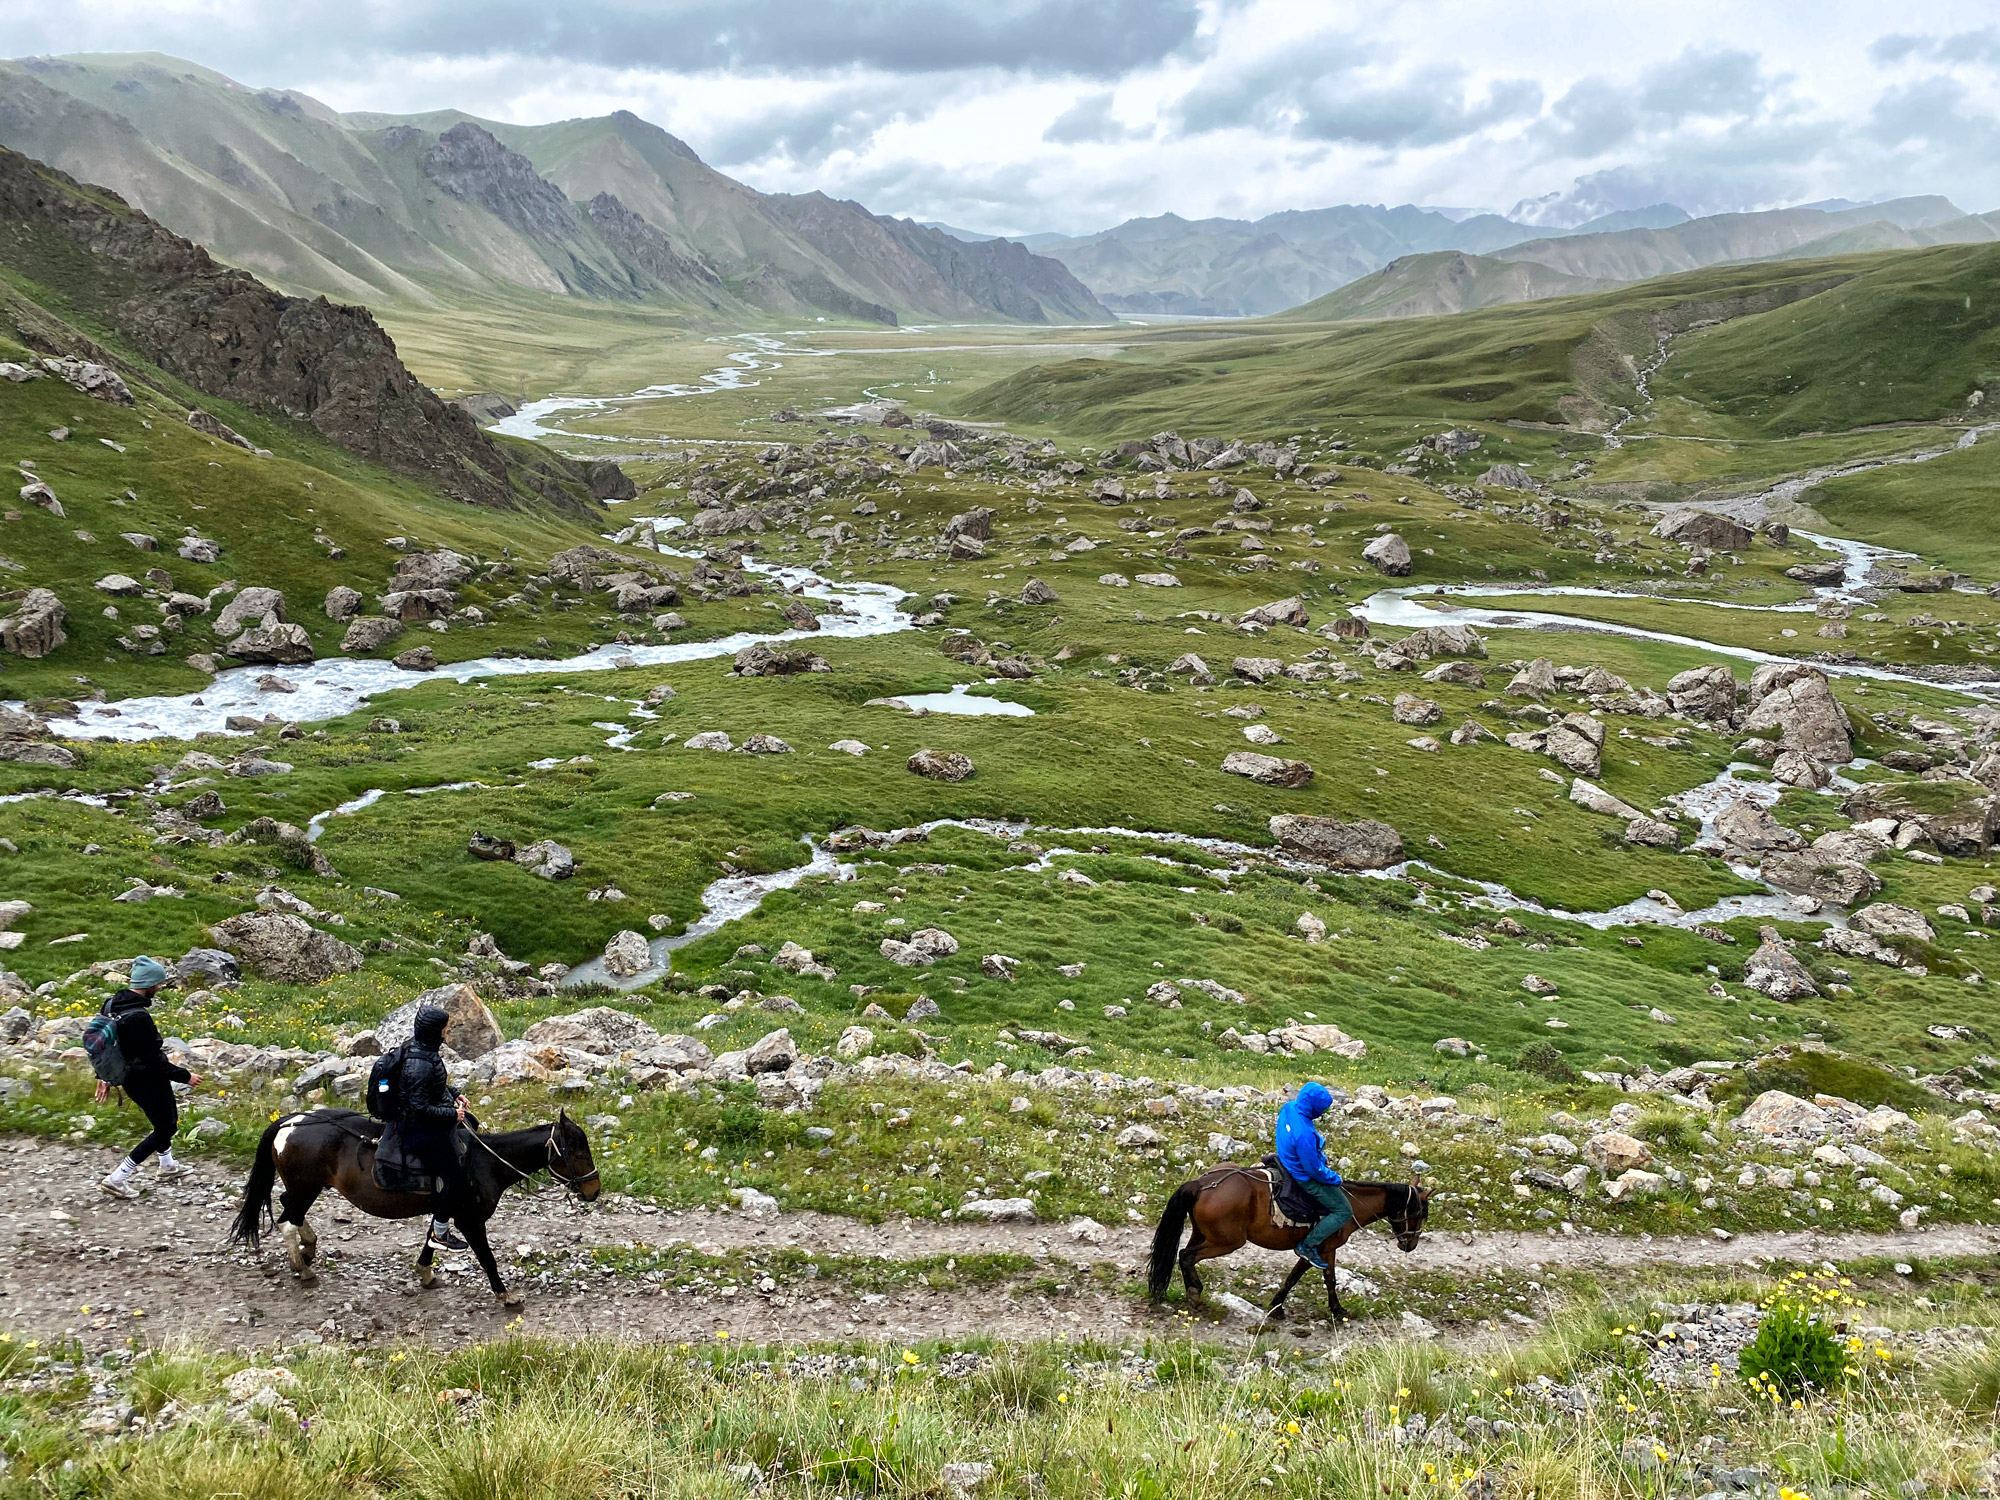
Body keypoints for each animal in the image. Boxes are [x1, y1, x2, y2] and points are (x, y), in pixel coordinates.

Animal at [231, 1112, 596, 1312]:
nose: (594, 1190)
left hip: (306, 1187)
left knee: (286, 1208)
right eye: (578, 1153)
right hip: (306, 1187)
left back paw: (308, 1247)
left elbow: (431, 1239)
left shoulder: (445, 1211)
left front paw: (425, 1274)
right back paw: (303, 1267)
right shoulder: (470, 1220)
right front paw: (506, 1296)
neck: (485, 1162)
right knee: (286, 1220)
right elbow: (487, 1258)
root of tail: (288, 1123)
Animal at [1152, 1168, 1432, 1320]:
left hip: (1202, 1234)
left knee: (1184, 1254)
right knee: (1187, 1256)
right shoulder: (1316, 1249)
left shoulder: (1328, 1250)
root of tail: (1200, 1184)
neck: (1350, 1203)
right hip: (1226, 1241)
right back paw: (1195, 1295)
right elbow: (1296, 1277)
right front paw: (1278, 1306)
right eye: (1420, 1213)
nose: (1410, 1244)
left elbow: (1329, 1279)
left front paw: (1335, 1309)